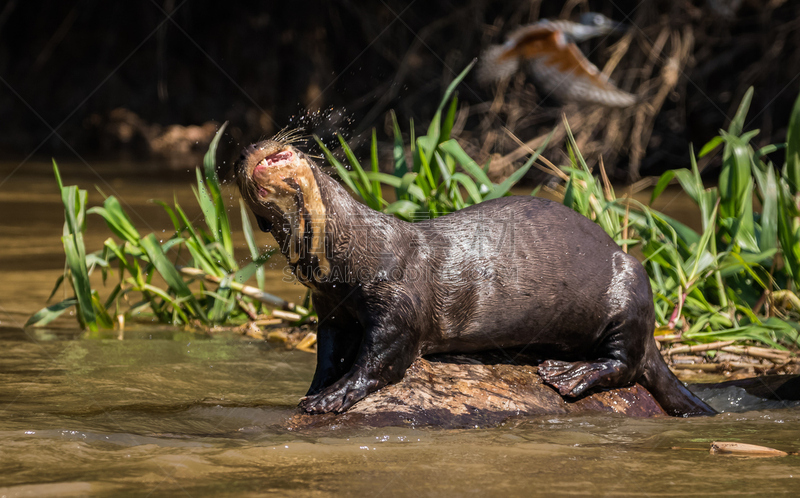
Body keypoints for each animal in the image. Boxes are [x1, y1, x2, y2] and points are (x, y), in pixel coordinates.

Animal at [234, 131, 716, 416]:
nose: (246, 146)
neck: (361, 251)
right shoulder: (332, 308)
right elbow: (329, 353)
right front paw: (314, 390)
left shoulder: (397, 300)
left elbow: (381, 359)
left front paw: (334, 396)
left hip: (630, 287)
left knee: (627, 363)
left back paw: (569, 374)